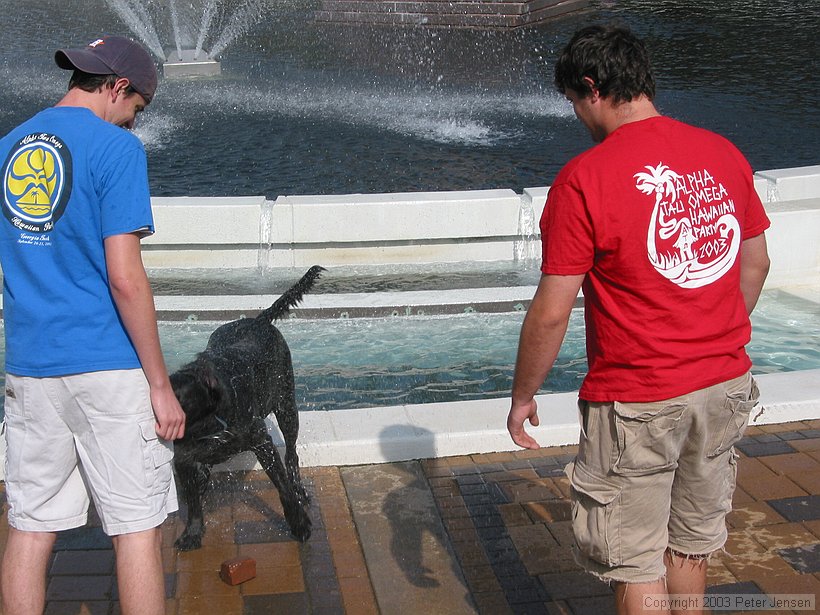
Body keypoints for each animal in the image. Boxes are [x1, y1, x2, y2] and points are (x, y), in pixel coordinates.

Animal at [170, 264, 324, 552]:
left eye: (180, 402)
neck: (210, 422)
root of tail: (260, 320)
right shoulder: (184, 459)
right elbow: (194, 503)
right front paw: (192, 533)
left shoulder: (262, 442)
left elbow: (283, 487)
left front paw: (299, 523)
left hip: (287, 406)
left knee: (292, 457)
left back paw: (300, 490)